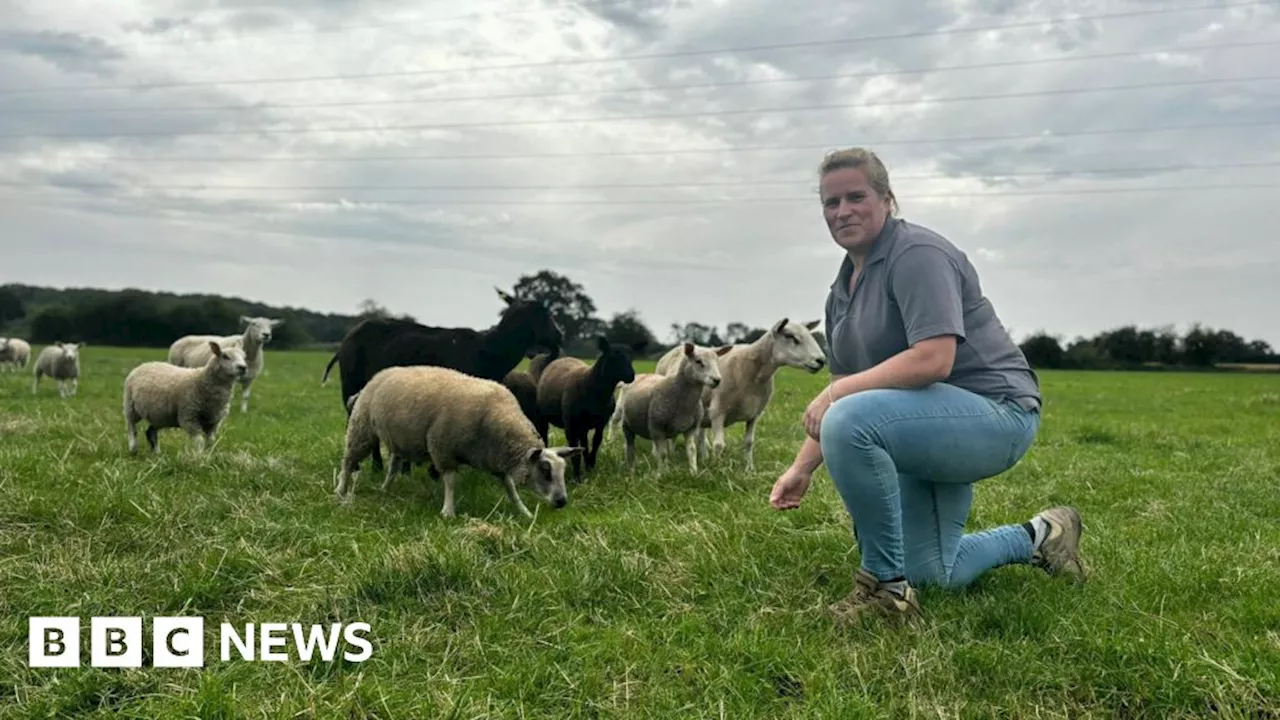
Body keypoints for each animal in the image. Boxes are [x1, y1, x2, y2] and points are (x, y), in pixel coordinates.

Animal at [335, 363, 586, 515]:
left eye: (563, 471)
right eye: (545, 471)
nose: (562, 502)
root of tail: (379, 376)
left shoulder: (495, 459)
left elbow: (510, 487)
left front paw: (523, 511)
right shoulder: (442, 449)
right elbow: (450, 482)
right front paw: (448, 511)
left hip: (399, 439)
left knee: (394, 466)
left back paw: (385, 489)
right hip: (361, 429)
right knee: (348, 462)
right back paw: (340, 490)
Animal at [532, 333, 645, 479]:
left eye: (632, 357)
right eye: (613, 356)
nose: (631, 376)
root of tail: (561, 359)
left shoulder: (602, 422)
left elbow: (596, 442)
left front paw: (590, 466)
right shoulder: (570, 423)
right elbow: (574, 449)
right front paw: (577, 477)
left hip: (583, 425)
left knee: (584, 442)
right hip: (545, 417)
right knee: (545, 436)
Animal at [604, 340, 727, 471]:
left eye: (717, 361)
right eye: (698, 361)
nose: (717, 380)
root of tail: (640, 375)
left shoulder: (690, 428)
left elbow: (691, 450)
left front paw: (693, 471)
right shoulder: (658, 427)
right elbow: (663, 453)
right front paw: (663, 473)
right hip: (624, 415)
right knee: (620, 430)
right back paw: (615, 448)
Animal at [655, 317, 824, 471]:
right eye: (791, 337)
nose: (821, 360)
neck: (752, 374)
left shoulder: (754, 414)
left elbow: (749, 443)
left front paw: (749, 469)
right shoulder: (718, 412)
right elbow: (719, 445)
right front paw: (717, 468)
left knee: (700, 436)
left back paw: (703, 456)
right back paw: (670, 455)